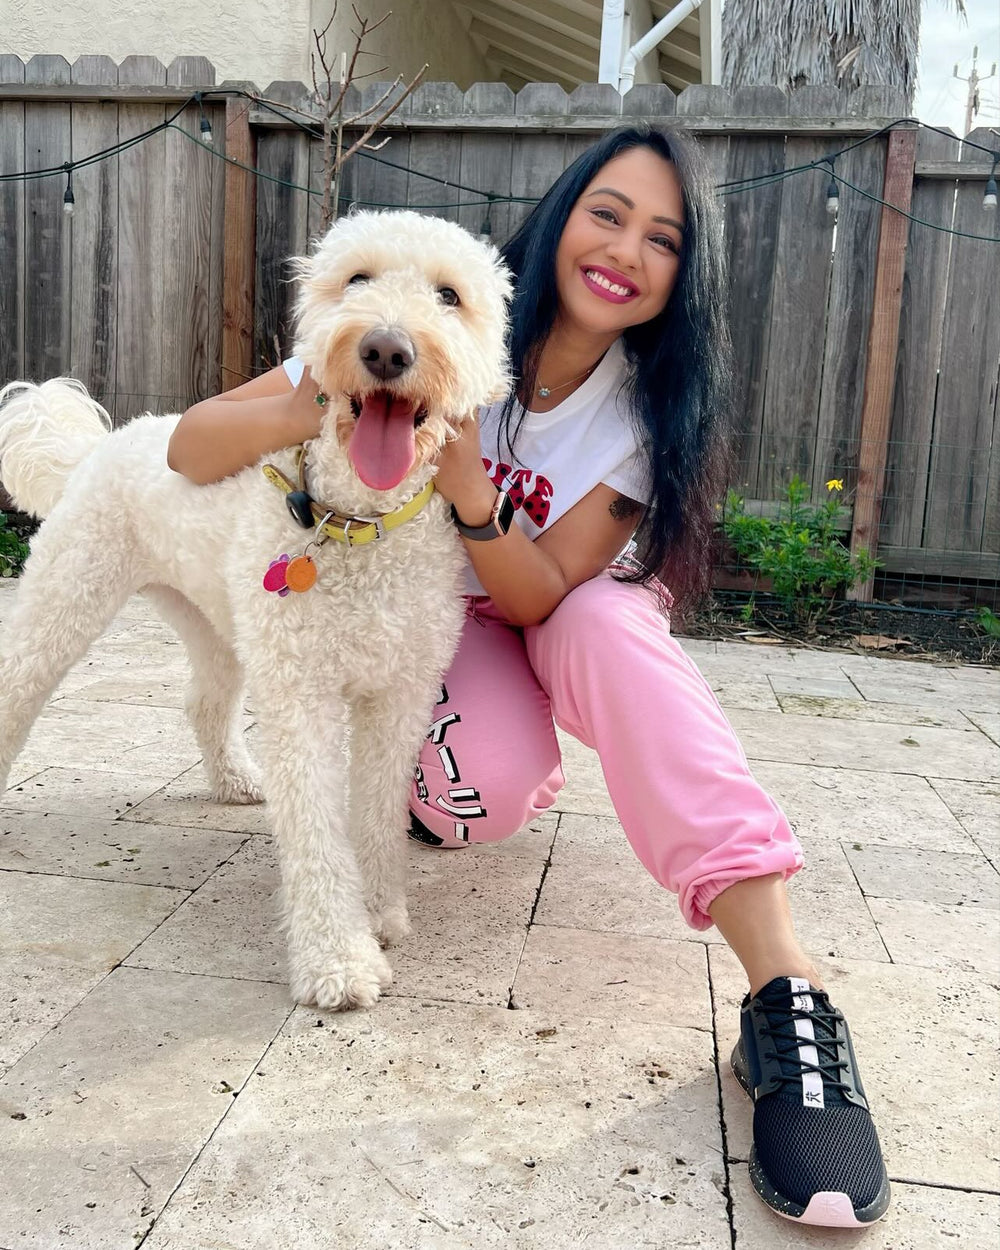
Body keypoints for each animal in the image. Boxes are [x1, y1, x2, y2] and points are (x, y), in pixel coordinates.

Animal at [0, 209, 511, 1010]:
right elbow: (316, 828)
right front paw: (339, 960)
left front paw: (380, 912)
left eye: (450, 296)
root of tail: (98, 446)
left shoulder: (400, 694)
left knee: (205, 701)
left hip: (214, 622)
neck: (357, 523)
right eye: (356, 279)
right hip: (68, 596)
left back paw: (238, 782)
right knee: (18, 684)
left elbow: (376, 812)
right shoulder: (303, 696)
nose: (386, 347)